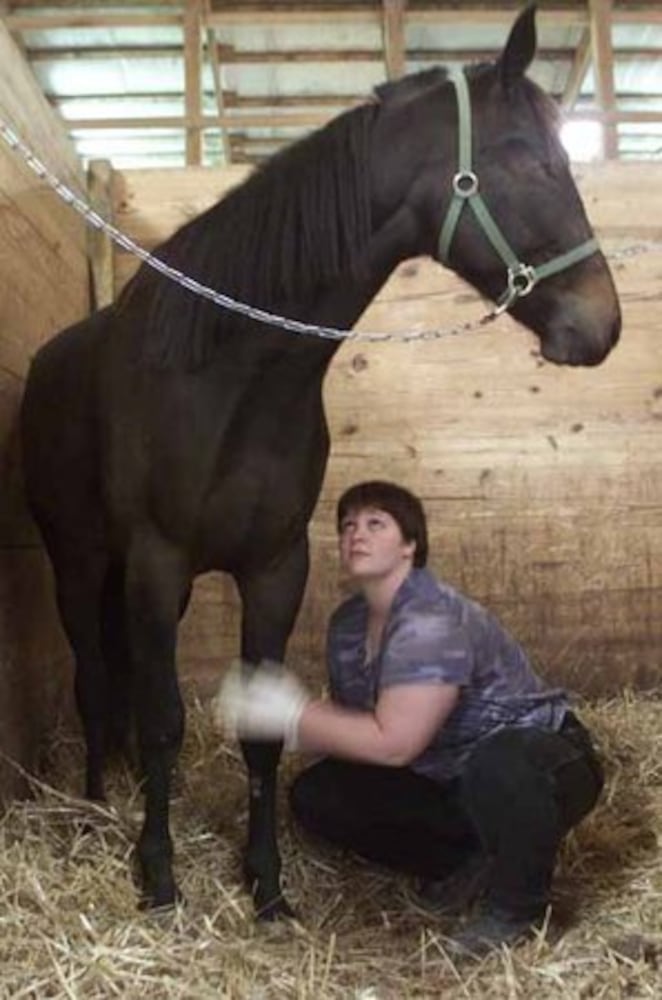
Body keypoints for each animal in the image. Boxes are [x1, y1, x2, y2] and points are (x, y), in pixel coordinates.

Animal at [22, 3, 624, 916]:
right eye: (525, 155)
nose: (603, 323)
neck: (228, 376)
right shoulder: (157, 563)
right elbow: (162, 721)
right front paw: (158, 874)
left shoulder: (277, 567)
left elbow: (262, 736)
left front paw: (266, 884)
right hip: (80, 562)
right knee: (96, 679)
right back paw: (95, 802)